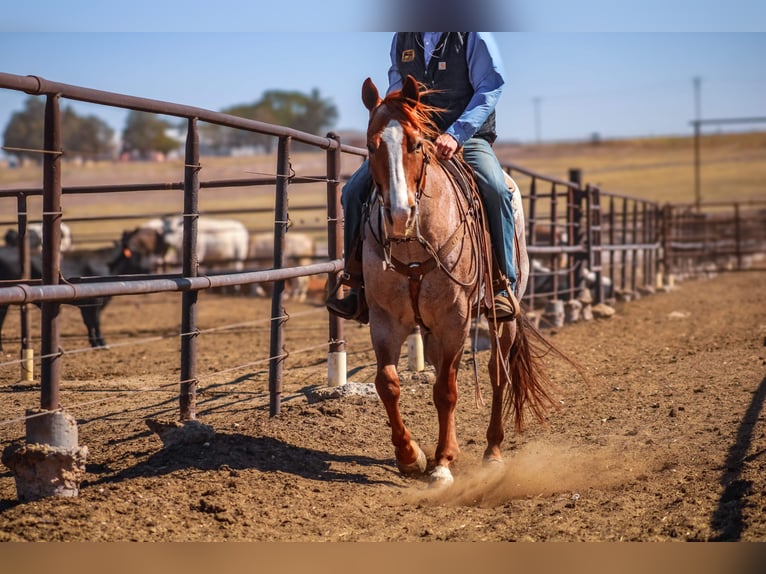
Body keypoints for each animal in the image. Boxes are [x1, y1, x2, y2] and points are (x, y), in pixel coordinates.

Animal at [360, 75, 560, 486]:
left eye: (415, 143)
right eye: (371, 145)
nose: (399, 215)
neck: (414, 244)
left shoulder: (455, 320)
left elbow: (447, 391)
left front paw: (440, 464)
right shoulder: (385, 320)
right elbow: (388, 383)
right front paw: (411, 456)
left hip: (504, 317)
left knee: (497, 374)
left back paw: (493, 450)